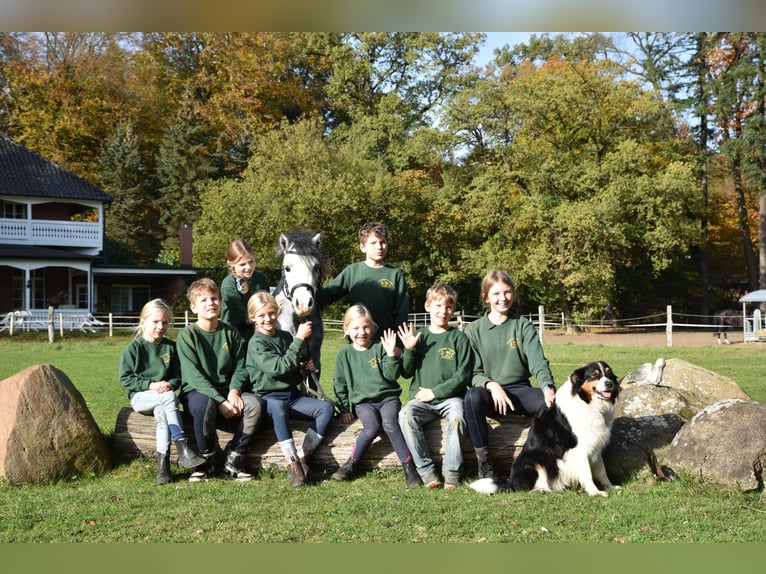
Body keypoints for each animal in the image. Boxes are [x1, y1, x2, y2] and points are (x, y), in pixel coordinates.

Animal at [468, 362, 624, 498]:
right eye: (594, 375)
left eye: (609, 374)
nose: (609, 384)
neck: (587, 403)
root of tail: (511, 481)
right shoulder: (579, 449)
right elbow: (587, 473)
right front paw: (595, 492)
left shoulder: (596, 445)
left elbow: (602, 471)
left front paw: (611, 486)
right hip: (535, 459)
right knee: (530, 487)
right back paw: (544, 490)